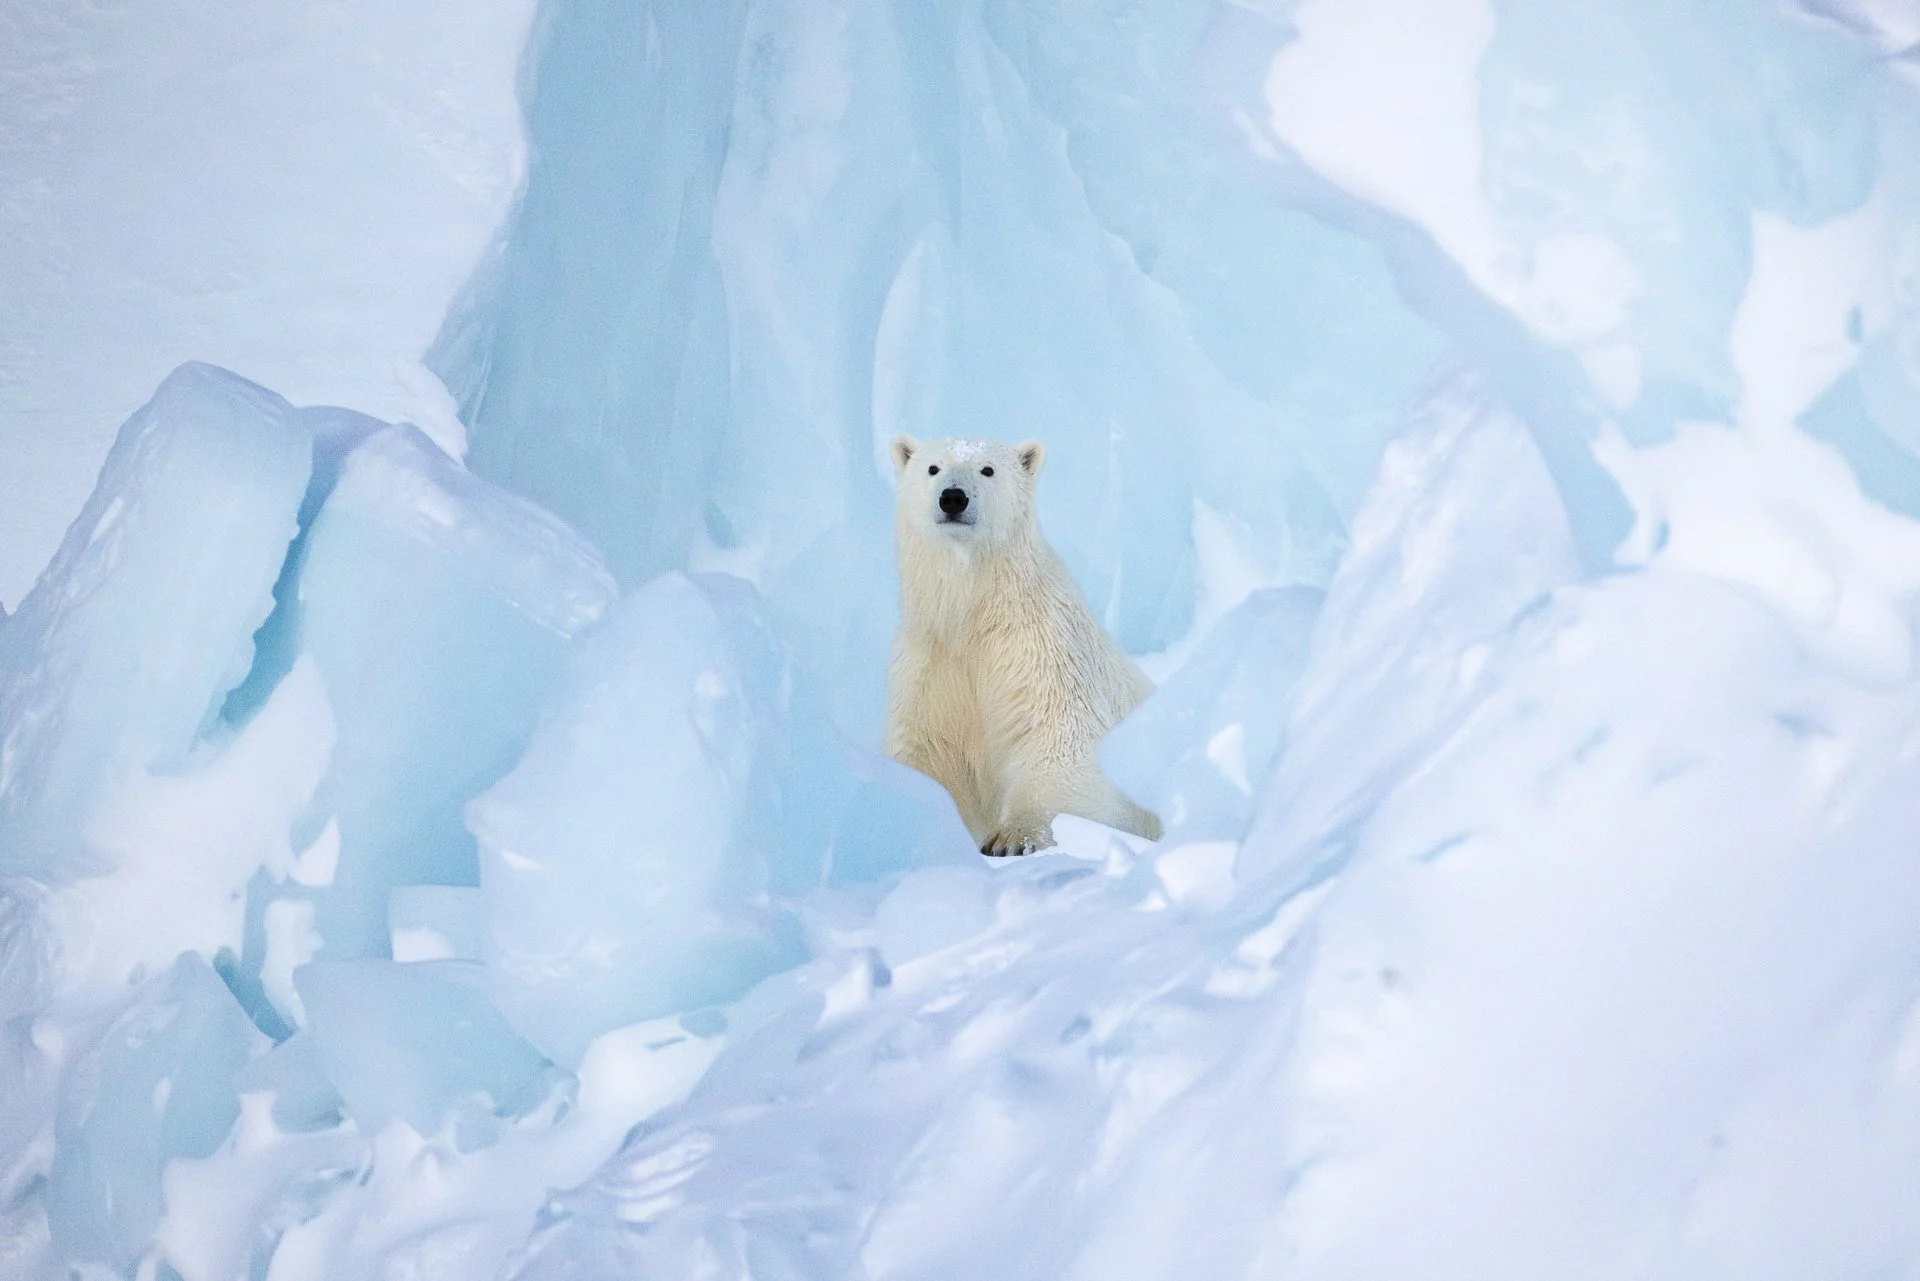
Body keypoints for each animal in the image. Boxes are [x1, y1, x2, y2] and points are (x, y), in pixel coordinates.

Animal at [884, 434, 1163, 856]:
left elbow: (1060, 741)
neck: (974, 614)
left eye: (987, 469)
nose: (953, 497)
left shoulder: (1040, 646)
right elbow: (925, 752)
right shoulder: (930, 661)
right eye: (933, 468)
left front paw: (1013, 838)